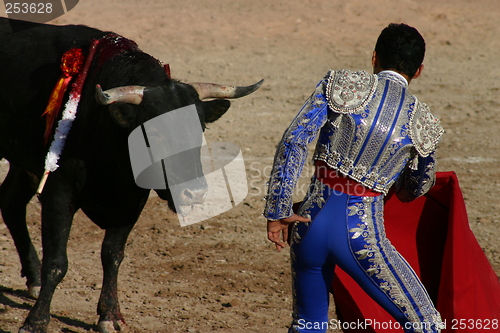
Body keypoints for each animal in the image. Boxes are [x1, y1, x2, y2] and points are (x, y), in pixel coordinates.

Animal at [0, 18, 264, 332]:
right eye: (154, 132)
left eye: (199, 127)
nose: (194, 193)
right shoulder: (58, 195)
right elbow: (57, 261)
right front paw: (36, 321)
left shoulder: (132, 202)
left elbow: (112, 255)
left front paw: (110, 315)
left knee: (10, 203)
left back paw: (34, 278)